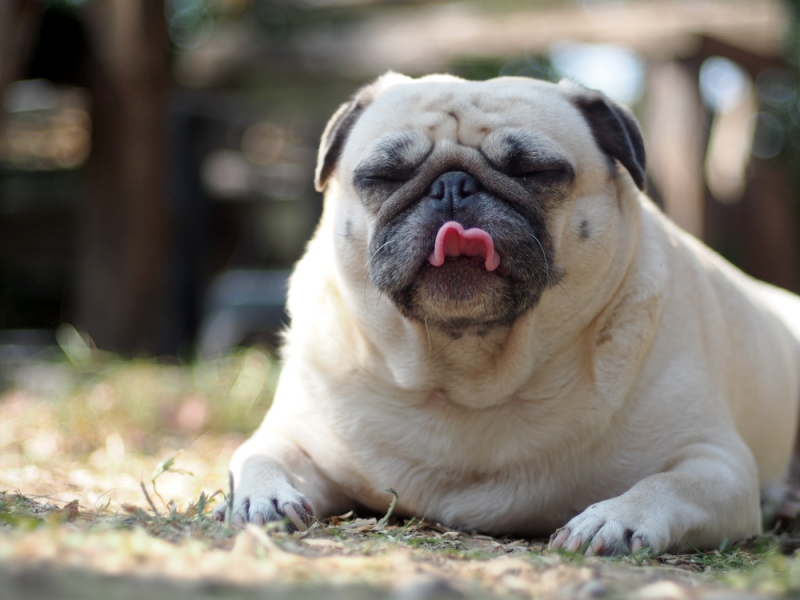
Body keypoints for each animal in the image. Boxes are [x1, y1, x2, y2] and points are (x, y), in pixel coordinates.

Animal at [216, 72, 800, 556]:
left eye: (536, 171)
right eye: (383, 176)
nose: (452, 186)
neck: (472, 378)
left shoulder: (718, 465)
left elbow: (667, 483)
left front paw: (615, 518)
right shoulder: (294, 436)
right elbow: (260, 456)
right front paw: (261, 498)